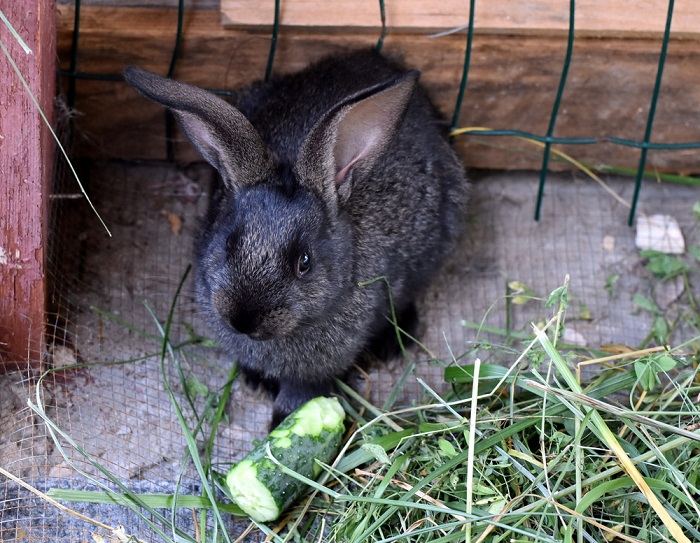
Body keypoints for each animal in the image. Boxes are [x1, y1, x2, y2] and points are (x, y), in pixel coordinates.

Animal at [123, 49, 468, 428]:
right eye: (229, 244)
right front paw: (257, 381)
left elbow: (301, 392)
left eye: (304, 262)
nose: (243, 320)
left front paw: (283, 423)